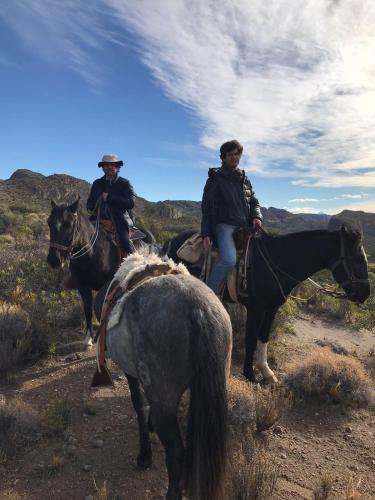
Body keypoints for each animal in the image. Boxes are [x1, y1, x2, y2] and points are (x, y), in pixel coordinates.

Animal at [46, 197, 156, 346]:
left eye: (68, 224)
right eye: (49, 222)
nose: (53, 259)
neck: (91, 252)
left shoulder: (108, 286)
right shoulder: (83, 286)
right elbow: (88, 309)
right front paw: (88, 338)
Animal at [94, 254, 232, 500]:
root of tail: (199, 308)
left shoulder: (131, 373)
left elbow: (139, 405)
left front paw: (144, 456)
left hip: (164, 400)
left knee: (176, 452)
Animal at [166, 227, 372, 382]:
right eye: (358, 259)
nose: (365, 294)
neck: (277, 261)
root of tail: (173, 240)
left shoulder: (272, 308)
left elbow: (264, 336)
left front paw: (266, 371)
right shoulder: (256, 309)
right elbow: (250, 339)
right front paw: (249, 374)